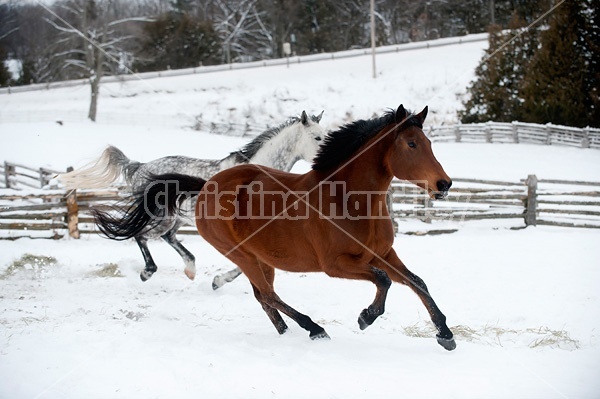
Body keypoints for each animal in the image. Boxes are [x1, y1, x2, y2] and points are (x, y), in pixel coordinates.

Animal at [58, 111, 326, 282]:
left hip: (177, 218)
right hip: (161, 218)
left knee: (168, 237)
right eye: (317, 138)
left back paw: (190, 269)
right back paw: (148, 272)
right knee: (141, 236)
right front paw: (218, 281)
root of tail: (139, 167)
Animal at [92, 105, 454, 350]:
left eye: (429, 143)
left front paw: (445, 334)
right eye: (411, 145)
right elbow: (384, 282)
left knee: (263, 296)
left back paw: (288, 330)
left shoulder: (382, 254)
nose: (444, 184)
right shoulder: (337, 265)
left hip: (260, 256)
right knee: (265, 293)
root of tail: (206, 185)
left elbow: (417, 282)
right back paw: (313, 328)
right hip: (238, 252)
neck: (346, 197)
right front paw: (366, 317)